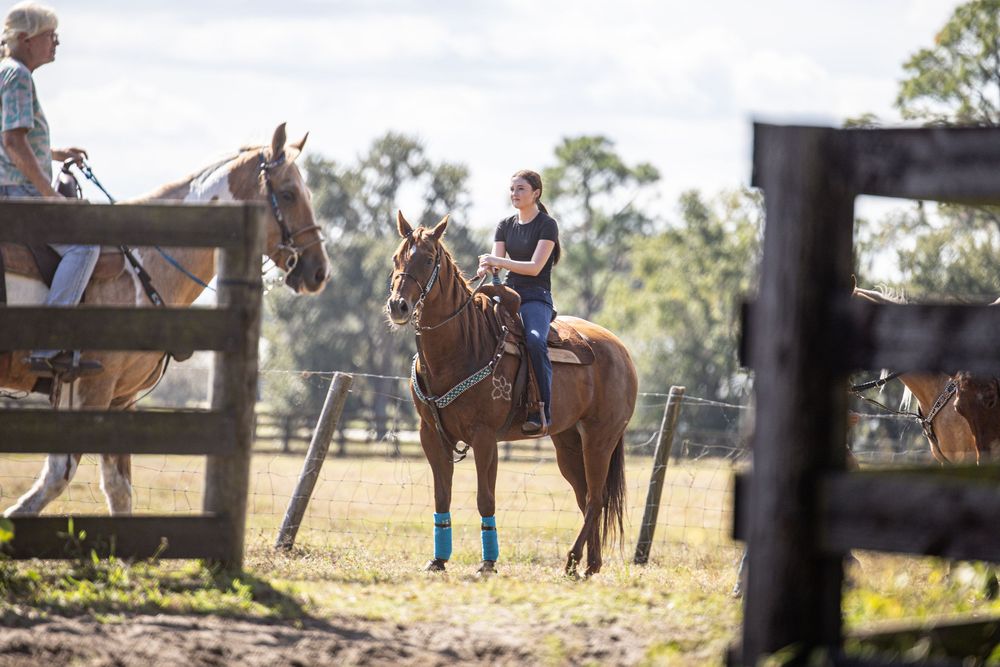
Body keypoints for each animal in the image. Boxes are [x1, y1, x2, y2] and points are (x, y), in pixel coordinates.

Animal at [2, 123, 331, 517]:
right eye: (288, 194)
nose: (319, 271)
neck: (142, 266)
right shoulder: (84, 389)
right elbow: (56, 476)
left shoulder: (120, 399)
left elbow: (119, 490)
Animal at [385, 212, 638, 577]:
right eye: (397, 258)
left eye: (429, 259)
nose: (398, 306)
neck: (462, 345)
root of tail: (621, 351)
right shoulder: (431, 435)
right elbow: (441, 496)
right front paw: (438, 559)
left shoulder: (484, 437)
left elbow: (485, 498)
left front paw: (488, 562)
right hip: (567, 441)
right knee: (585, 496)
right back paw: (590, 564)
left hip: (600, 438)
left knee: (596, 498)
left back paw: (572, 559)